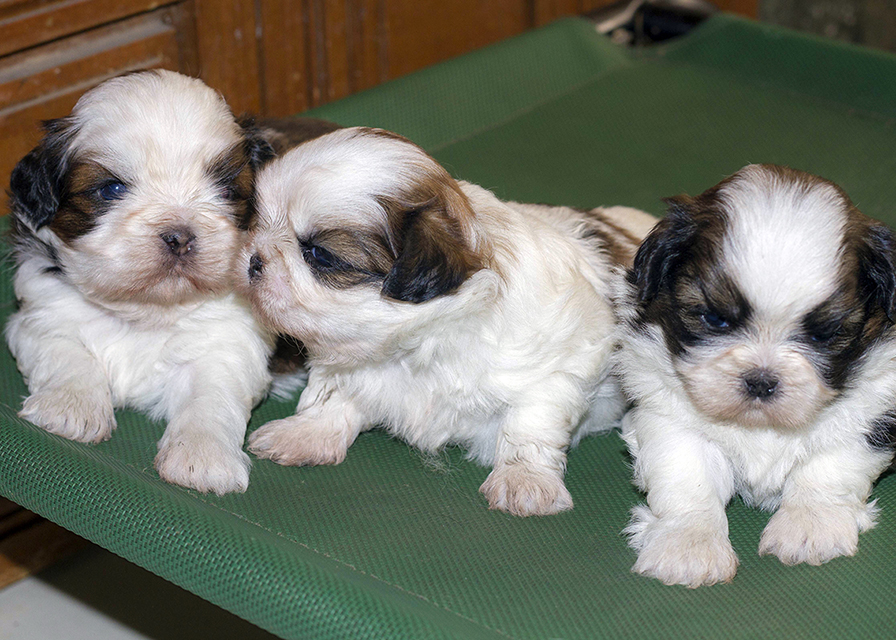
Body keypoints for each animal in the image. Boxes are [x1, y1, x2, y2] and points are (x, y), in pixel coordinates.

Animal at [3, 70, 284, 496]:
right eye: (111, 189)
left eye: (227, 191)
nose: (180, 236)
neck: (145, 309)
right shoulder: (39, 315)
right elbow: (66, 352)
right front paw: (69, 408)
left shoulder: (230, 343)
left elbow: (211, 395)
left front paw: (202, 456)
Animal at [240, 125, 656, 516]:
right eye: (261, 223)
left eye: (319, 255)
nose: (253, 260)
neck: (418, 344)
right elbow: (334, 395)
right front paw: (306, 433)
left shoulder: (560, 365)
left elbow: (530, 423)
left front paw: (524, 479)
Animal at [612, 164, 896, 584]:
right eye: (714, 319)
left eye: (824, 334)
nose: (761, 380)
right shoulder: (667, 415)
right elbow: (687, 475)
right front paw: (689, 544)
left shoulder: (871, 410)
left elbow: (832, 465)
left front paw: (810, 525)